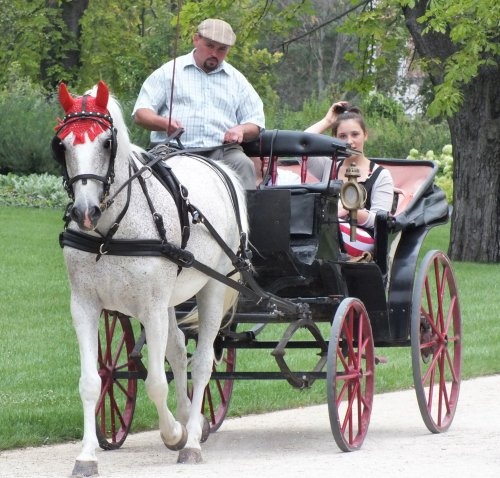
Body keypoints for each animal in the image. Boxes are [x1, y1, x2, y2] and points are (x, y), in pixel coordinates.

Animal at [53, 81, 249, 474]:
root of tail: (217, 167)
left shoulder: (152, 307)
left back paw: (191, 441)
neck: (110, 234)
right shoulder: (84, 305)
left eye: (106, 143)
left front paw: (174, 433)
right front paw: (87, 455)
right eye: (62, 144)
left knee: (201, 362)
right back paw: (193, 418)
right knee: (178, 349)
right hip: (173, 298)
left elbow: (157, 382)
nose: (84, 211)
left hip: (214, 287)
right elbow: (91, 381)